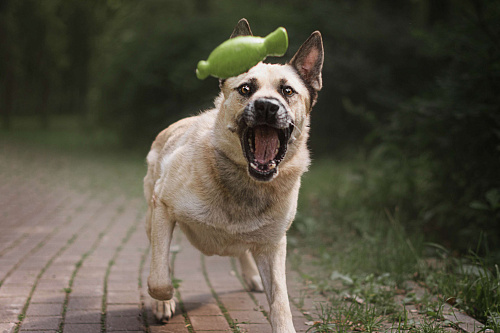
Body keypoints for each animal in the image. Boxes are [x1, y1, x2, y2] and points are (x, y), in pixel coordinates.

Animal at [145, 18, 324, 332]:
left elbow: (280, 301)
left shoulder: (274, 244)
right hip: (149, 216)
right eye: (246, 89)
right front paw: (164, 301)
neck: (246, 183)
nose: (267, 106)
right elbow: (159, 276)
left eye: (287, 91)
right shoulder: (162, 207)